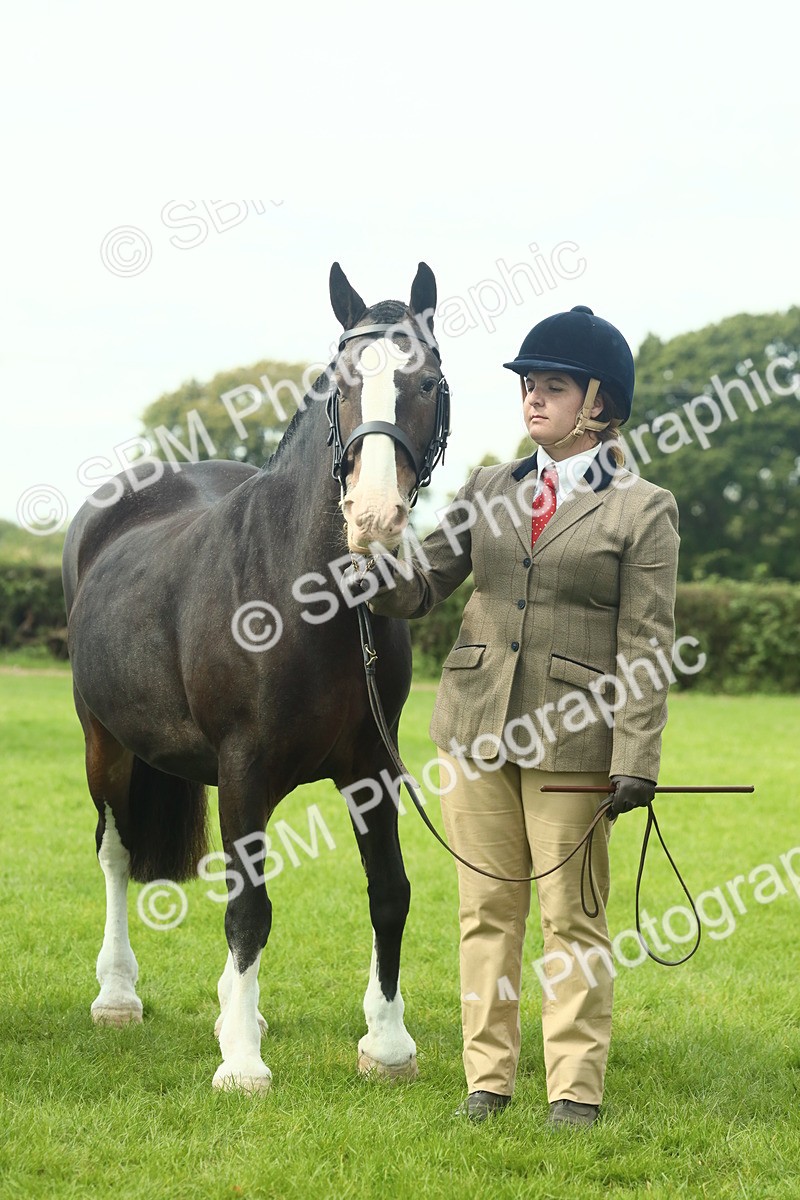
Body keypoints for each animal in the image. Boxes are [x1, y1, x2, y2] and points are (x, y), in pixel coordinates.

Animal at [61, 262, 450, 1093]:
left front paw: (387, 1045)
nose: (372, 516)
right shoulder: (244, 763)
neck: (310, 597)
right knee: (115, 850)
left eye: (427, 381)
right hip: (103, 740)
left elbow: (389, 893)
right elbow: (248, 910)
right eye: (342, 384)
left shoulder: (373, 767)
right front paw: (241, 1063)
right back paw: (118, 994)